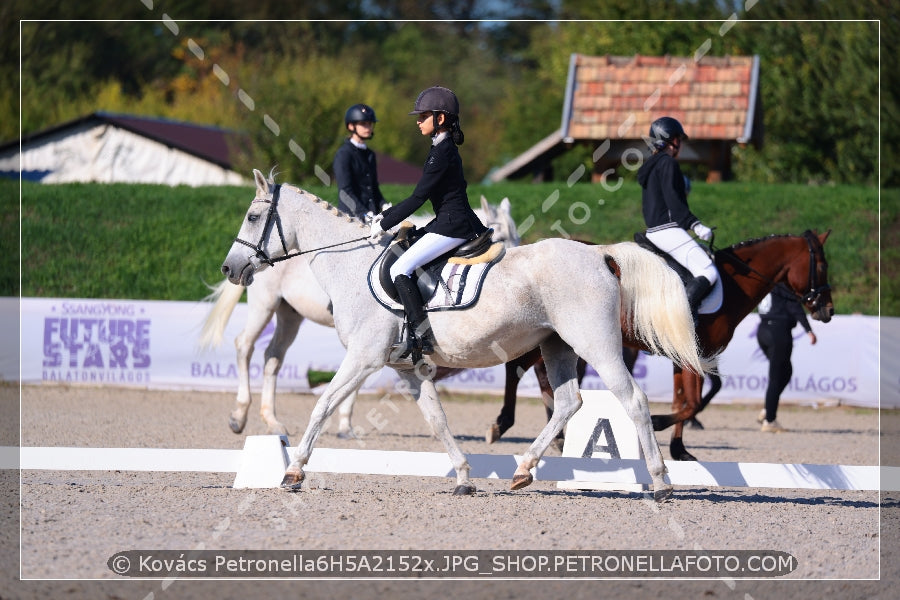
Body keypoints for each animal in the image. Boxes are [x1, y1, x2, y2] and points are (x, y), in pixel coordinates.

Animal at [197, 196, 520, 436]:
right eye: (502, 235)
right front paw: (344, 423)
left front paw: (345, 422)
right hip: (264, 304)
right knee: (244, 345)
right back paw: (239, 416)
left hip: (290, 314)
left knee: (273, 357)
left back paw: (273, 421)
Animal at [488, 230, 832, 460]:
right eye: (821, 265)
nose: (826, 310)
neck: (733, 285)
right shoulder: (694, 356)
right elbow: (691, 403)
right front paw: (658, 424)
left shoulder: (684, 359)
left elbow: (684, 400)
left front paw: (680, 450)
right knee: (517, 368)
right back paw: (504, 424)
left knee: (532, 374)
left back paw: (553, 434)